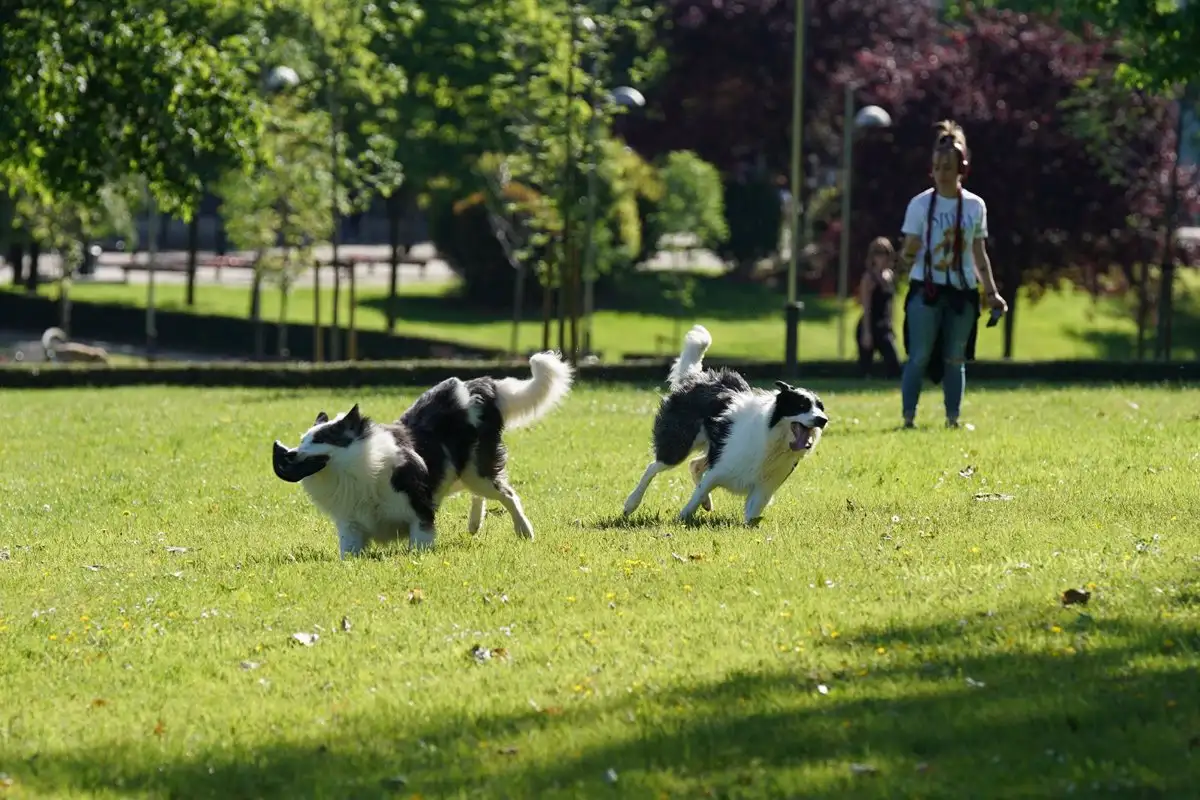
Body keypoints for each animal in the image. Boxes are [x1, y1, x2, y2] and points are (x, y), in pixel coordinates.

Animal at [619, 326, 825, 525]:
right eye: (802, 406)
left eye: (820, 408)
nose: (823, 420)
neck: (773, 439)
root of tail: (695, 378)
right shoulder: (719, 468)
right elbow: (697, 495)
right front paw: (681, 519)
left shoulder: (765, 487)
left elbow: (751, 514)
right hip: (678, 443)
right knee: (653, 467)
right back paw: (631, 504)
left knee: (694, 465)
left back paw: (706, 502)